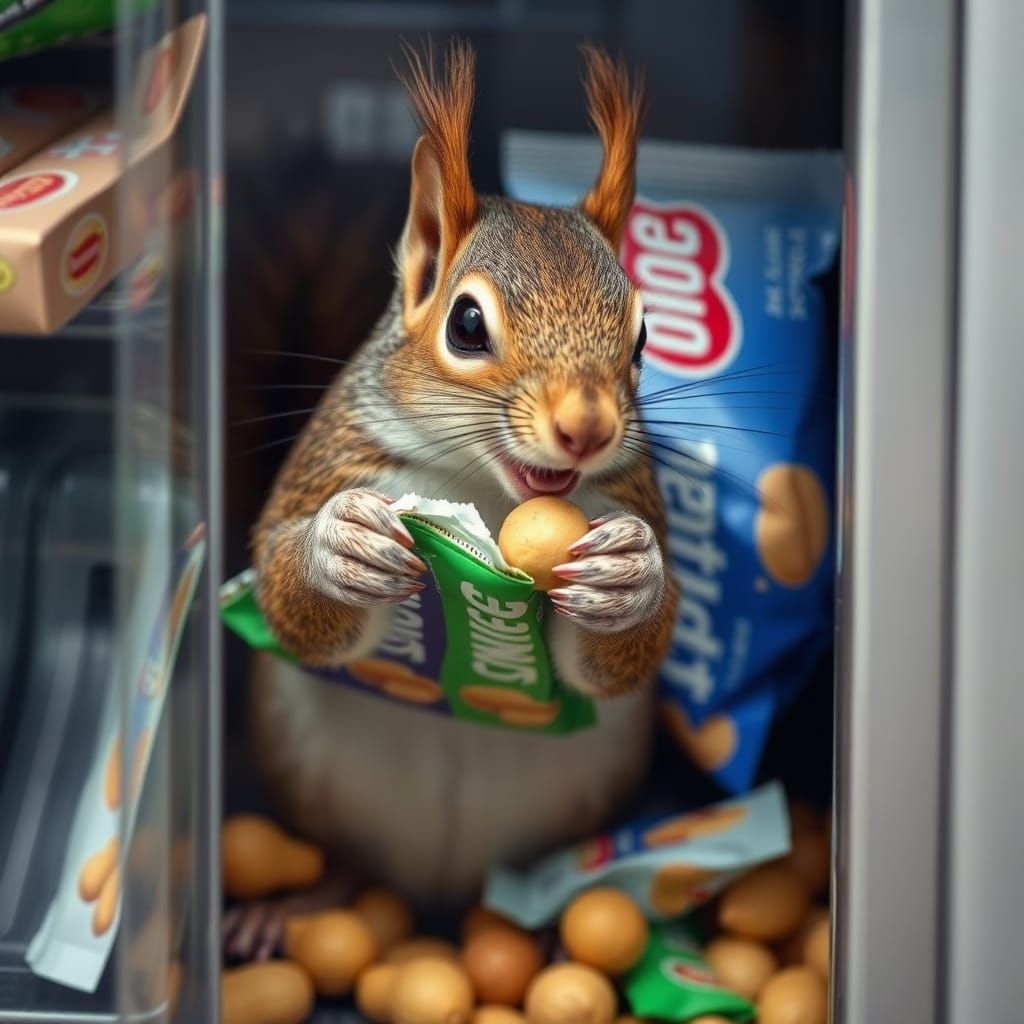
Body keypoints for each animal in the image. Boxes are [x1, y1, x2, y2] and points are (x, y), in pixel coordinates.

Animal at [232, 40, 679, 956]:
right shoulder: (332, 461)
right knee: (343, 864)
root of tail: (438, 891)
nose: (586, 427)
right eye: (466, 325)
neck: (484, 489)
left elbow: (616, 662)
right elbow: (287, 597)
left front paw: (632, 574)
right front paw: (338, 547)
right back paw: (294, 905)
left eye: (643, 337)